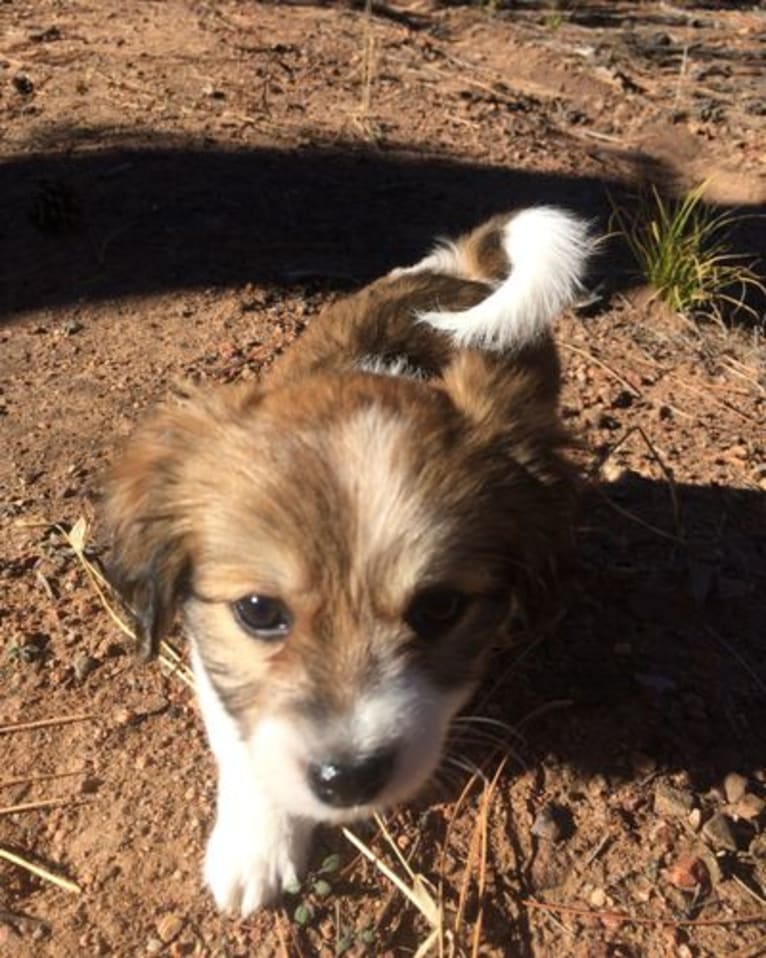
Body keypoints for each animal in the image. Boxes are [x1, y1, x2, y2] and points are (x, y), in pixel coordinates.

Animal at [103, 208, 592, 916]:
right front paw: (256, 847)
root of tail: (460, 269)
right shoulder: (215, 659)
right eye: (259, 610)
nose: (350, 780)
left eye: (440, 607)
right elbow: (246, 743)